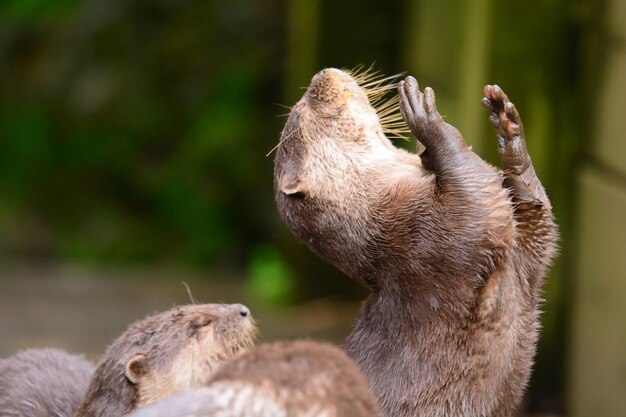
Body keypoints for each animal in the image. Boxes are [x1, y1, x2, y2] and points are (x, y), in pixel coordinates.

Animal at [272, 69, 556, 416]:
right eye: (304, 112)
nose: (321, 75)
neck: (382, 216)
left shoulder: (525, 256)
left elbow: (536, 215)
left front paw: (508, 131)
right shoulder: (434, 237)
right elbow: (474, 187)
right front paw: (428, 122)